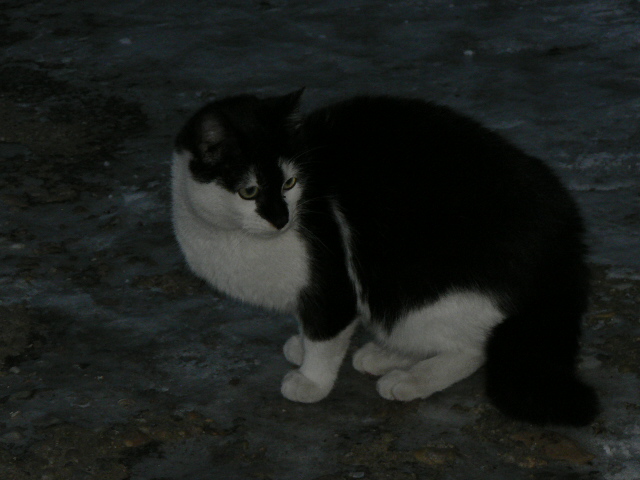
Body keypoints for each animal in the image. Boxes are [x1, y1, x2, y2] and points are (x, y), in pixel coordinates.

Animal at [171, 90, 599, 426]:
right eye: (249, 190)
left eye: (290, 183)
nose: (282, 219)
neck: (229, 237)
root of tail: (567, 235)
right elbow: (308, 325)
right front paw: (301, 344)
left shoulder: (332, 280)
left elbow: (325, 336)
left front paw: (312, 379)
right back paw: (385, 355)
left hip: (417, 288)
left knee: (475, 346)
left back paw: (410, 378)